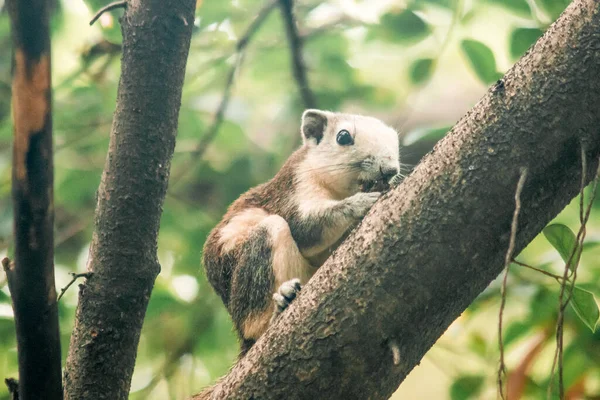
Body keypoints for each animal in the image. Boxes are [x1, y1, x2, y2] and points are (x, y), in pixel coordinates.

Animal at [200, 108, 398, 354]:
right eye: (343, 137)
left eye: (395, 140)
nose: (391, 170)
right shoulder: (294, 186)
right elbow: (304, 229)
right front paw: (359, 202)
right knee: (253, 325)